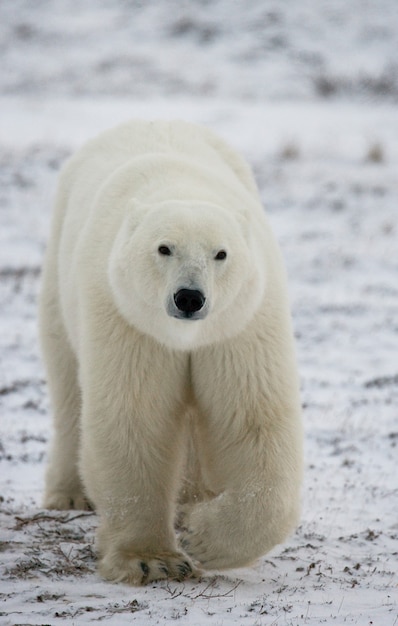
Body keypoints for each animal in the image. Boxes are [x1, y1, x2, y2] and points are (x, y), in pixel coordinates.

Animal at [39, 118, 302, 584]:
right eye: (164, 248)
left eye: (221, 254)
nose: (189, 298)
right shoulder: (128, 319)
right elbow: (134, 417)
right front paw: (151, 560)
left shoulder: (240, 323)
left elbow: (253, 416)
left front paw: (206, 538)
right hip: (60, 271)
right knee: (68, 382)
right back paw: (68, 493)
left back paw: (194, 498)